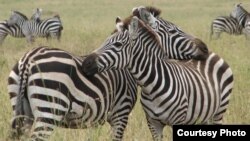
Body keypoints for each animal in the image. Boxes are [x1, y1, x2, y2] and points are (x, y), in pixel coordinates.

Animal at [82, 16, 234, 141]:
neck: (152, 87)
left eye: (118, 45)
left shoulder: (178, 121)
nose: (85, 63)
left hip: (218, 113)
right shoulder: (153, 123)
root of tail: (212, 54)